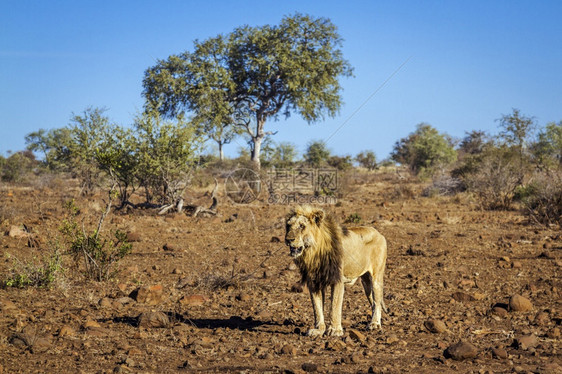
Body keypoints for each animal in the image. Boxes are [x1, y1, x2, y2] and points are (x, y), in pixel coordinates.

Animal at [284, 206, 384, 338]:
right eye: (288, 225)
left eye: (302, 226)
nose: (288, 239)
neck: (313, 253)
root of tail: (379, 233)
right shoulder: (314, 282)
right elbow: (317, 308)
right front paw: (318, 330)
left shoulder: (337, 279)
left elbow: (335, 306)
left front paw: (334, 330)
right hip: (366, 282)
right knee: (373, 301)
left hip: (376, 277)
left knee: (377, 300)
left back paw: (374, 324)